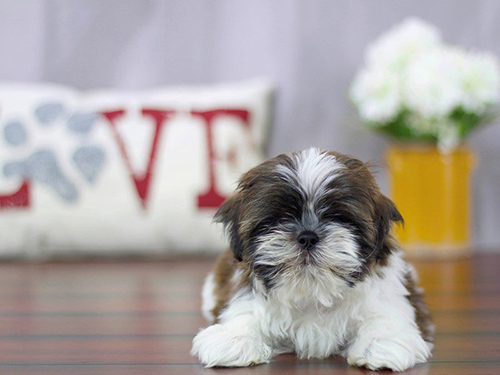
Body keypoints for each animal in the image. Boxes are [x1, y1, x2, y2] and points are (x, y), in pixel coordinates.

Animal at [191, 148, 434, 372]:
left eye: (338, 217)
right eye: (280, 218)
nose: (307, 236)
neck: (312, 291)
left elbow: (384, 317)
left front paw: (380, 342)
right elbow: (246, 313)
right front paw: (234, 338)